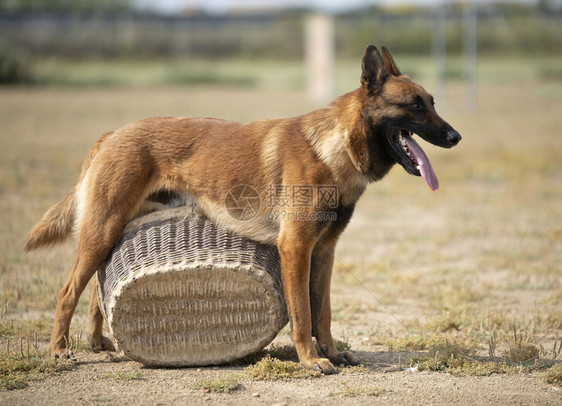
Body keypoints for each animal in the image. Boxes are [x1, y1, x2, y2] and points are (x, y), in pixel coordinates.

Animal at [24, 45, 458, 374]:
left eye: (433, 103)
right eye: (414, 106)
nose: (456, 136)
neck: (334, 149)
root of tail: (111, 134)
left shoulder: (324, 252)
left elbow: (324, 312)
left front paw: (332, 353)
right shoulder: (295, 249)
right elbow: (303, 313)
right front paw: (311, 360)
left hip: (111, 231)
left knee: (96, 288)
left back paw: (98, 341)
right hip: (101, 231)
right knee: (68, 291)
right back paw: (59, 350)